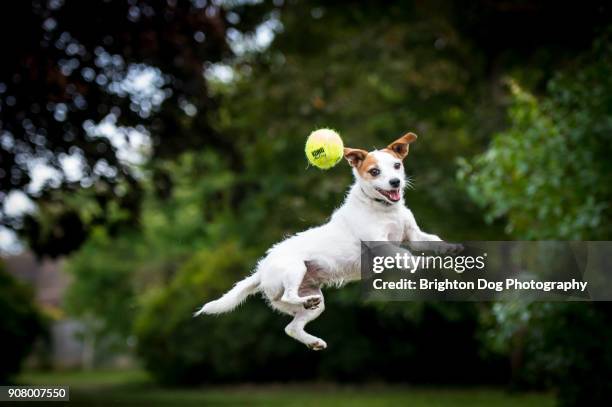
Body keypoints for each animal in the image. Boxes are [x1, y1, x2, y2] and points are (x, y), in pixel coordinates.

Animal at [196, 133, 454, 350]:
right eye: (374, 171)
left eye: (397, 165)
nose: (395, 182)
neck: (384, 209)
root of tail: (261, 270)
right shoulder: (382, 245)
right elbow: (406, 255)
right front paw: (422, 264)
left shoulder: (414, 235)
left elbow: (434, 240)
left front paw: (451, 249)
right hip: (294, 270)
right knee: (289, 297)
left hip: (316, 302)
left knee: (292, 327)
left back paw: (313, 340)